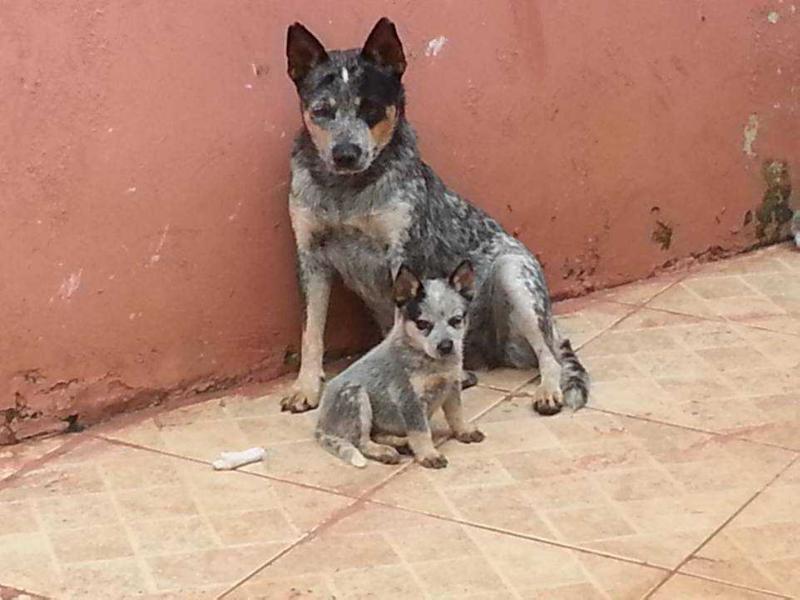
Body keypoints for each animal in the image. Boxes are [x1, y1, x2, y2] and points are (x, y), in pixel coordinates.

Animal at [282, 16, 588, 414]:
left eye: (370, 109)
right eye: (322, 110)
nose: (345, 153)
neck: (346, 191)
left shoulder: (401, 256)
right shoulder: (311, 257)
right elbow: (311, 332)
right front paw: (305, 386)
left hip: (516, 278)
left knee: (550, 356)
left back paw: (547, 390)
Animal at [318, 262, 482, 468]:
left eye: (456, 320)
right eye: (422, 324)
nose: (446, 346)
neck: (432, 363)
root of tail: (320, 426)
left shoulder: (452, 386)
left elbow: (456, 413)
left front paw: (464, 430)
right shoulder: (410, 400)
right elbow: (421, 432)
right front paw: (428, 454)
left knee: (376, 434)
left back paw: (401, 444)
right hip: (357, 396)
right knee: (361, 441)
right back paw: (383, 452)